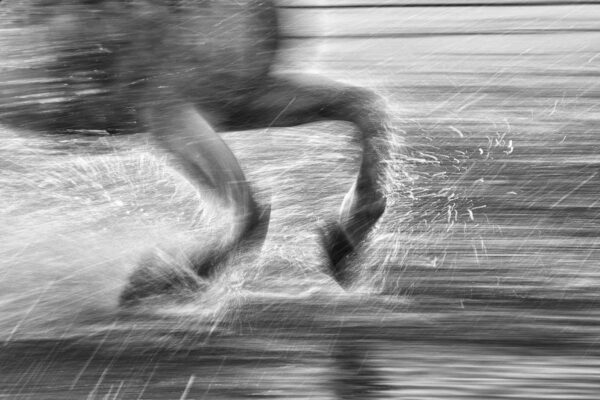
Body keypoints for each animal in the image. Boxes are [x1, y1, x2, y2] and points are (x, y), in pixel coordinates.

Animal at [0, 0, 392, 304]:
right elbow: (248, 208)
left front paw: (344, 243)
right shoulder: (167, 111)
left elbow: (366, 108)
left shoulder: (238, 100)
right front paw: (161, 280)